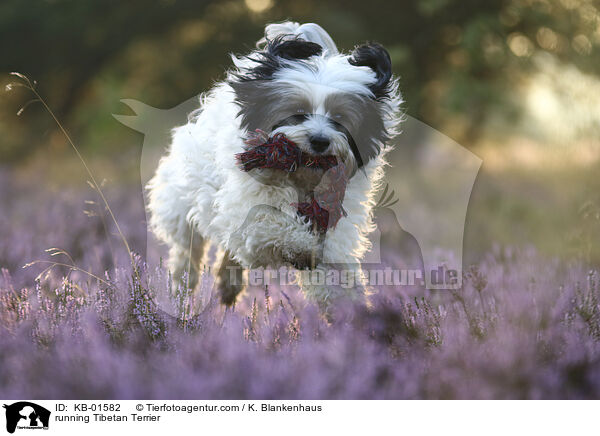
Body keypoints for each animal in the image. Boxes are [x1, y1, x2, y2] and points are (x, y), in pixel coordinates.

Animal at [146, 20, 404, 306]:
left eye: (339, 117)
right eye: (298, 112)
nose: (319, 140)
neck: (301, 179)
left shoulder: (338, 221)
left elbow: (334, 276)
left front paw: (353, 311)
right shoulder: (246, 208)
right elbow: (272, 223)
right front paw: (301, 245)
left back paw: (227, 285)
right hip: (183, 204)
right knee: (187, 249)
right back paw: (180, 291)